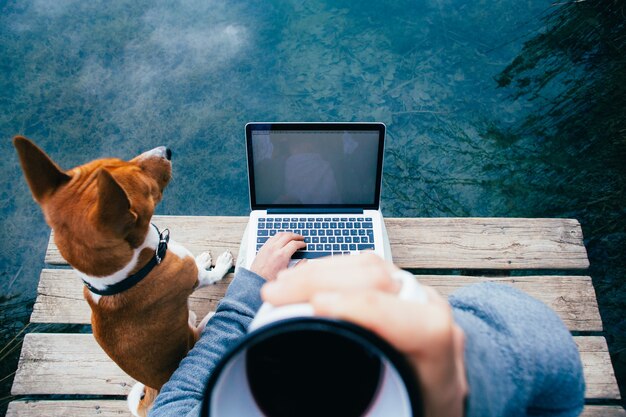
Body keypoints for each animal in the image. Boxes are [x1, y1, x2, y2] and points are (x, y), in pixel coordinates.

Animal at [14, 137, 234, 416]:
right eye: (142, 180)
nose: (166, 150)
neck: (122, 278)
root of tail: (155, 389)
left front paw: (204, 258)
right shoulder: (192, 278)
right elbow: (208, 274)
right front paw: (218, 264)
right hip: (201, 329)